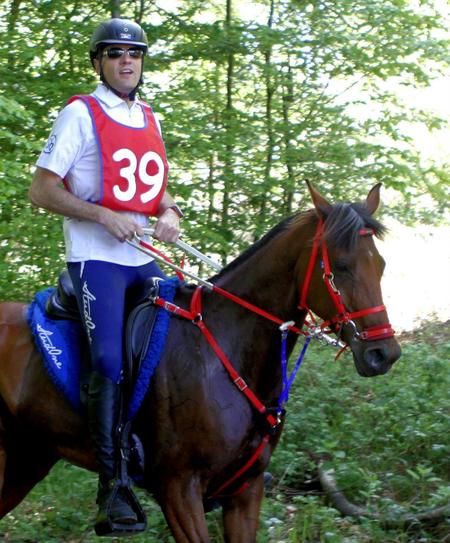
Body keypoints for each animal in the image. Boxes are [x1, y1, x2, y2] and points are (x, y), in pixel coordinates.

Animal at [0, 184, 400, 543]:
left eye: (381, 265)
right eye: (341, 267)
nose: (383, 353)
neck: (224, 348)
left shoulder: (246, 491)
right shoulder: (179, 491)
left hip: (26, 461)